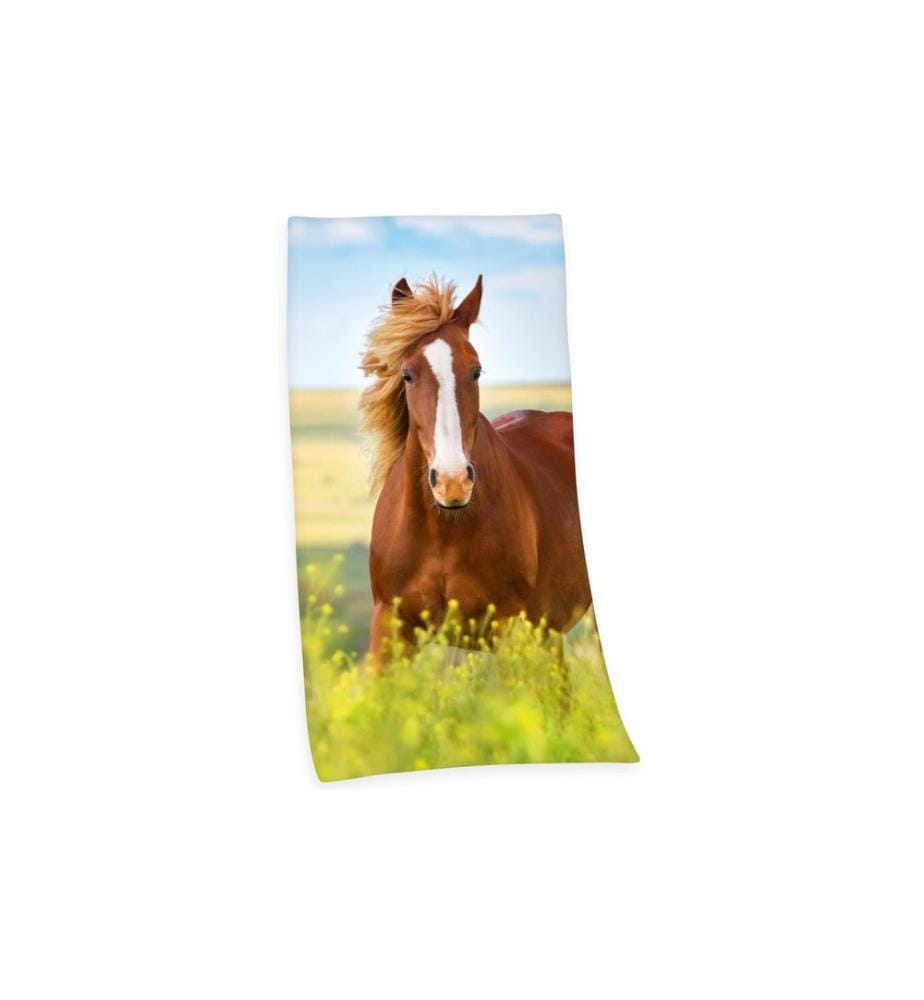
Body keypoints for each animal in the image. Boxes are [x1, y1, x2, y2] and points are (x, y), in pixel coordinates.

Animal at [360, 274, 592, 656]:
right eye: (407, 375)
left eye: (476, 371)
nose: (452, 482)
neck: (443, 529)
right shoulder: (389, 627)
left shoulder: (511, 630)